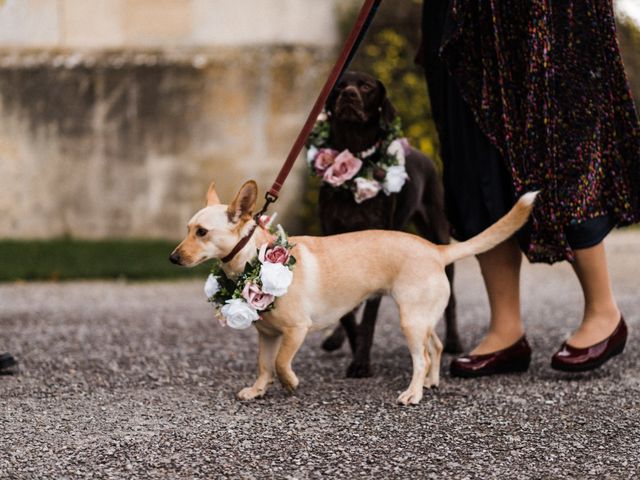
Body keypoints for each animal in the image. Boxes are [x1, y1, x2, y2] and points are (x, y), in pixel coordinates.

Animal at [169, 180, 536, 404]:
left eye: (201, 232)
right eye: (186, 229)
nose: (172, 258)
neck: (253, 259)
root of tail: (436, 249)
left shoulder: (296, 331)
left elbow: (283, 363)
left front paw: (290, 383)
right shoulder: (267, 336)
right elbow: (264, 365)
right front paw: (258, 389)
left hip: (410, 321)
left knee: (422, 357)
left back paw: (413, 392)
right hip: (422, 318)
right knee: (436, 345)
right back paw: (431, 382)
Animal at [316, 71, 460, 378]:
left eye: (366, 86)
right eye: (340, 86)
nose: (348, 95)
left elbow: (369, 317)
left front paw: (361, 361)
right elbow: (349, 314)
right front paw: (352, 341)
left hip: (438, 231)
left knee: (451, 298)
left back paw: (455, 341)